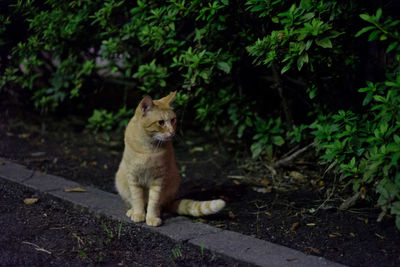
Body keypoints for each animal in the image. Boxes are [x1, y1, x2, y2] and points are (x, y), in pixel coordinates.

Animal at [115, 91, 227, 226]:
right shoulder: (133, 176)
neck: (149, 147)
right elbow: (137, 199)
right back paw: (132, 211)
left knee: (160, 205)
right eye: (161, 122)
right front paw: (138, 214)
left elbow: (153, 202)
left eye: (173, 120)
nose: (172, 132)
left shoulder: (158, 179)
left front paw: (152, 217)